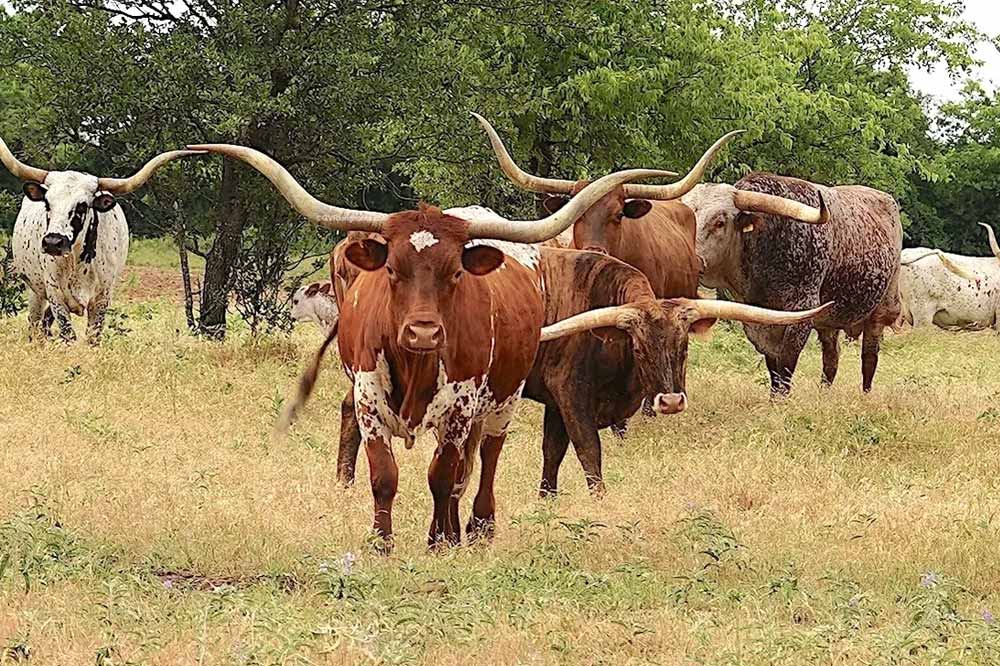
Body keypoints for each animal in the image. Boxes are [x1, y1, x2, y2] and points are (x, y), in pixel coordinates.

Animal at [2, 136, 203, 342]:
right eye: (47, 203)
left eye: (82, 206)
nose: (53, 243)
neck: (77, 263)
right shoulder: (55, 294)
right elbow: (68, 334)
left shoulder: (101, 299)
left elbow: (93, 337)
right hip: (35, 290)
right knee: (35, 324)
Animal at [684, 176, 904, 394]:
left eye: (720, 222)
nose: (689, 260)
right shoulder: (761, 323)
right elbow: (774, 370)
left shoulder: (801, 312)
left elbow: (785, 367)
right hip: (829, 319)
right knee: (831, 357)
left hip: (883, 307)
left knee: (869, 356)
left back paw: (865, 394)